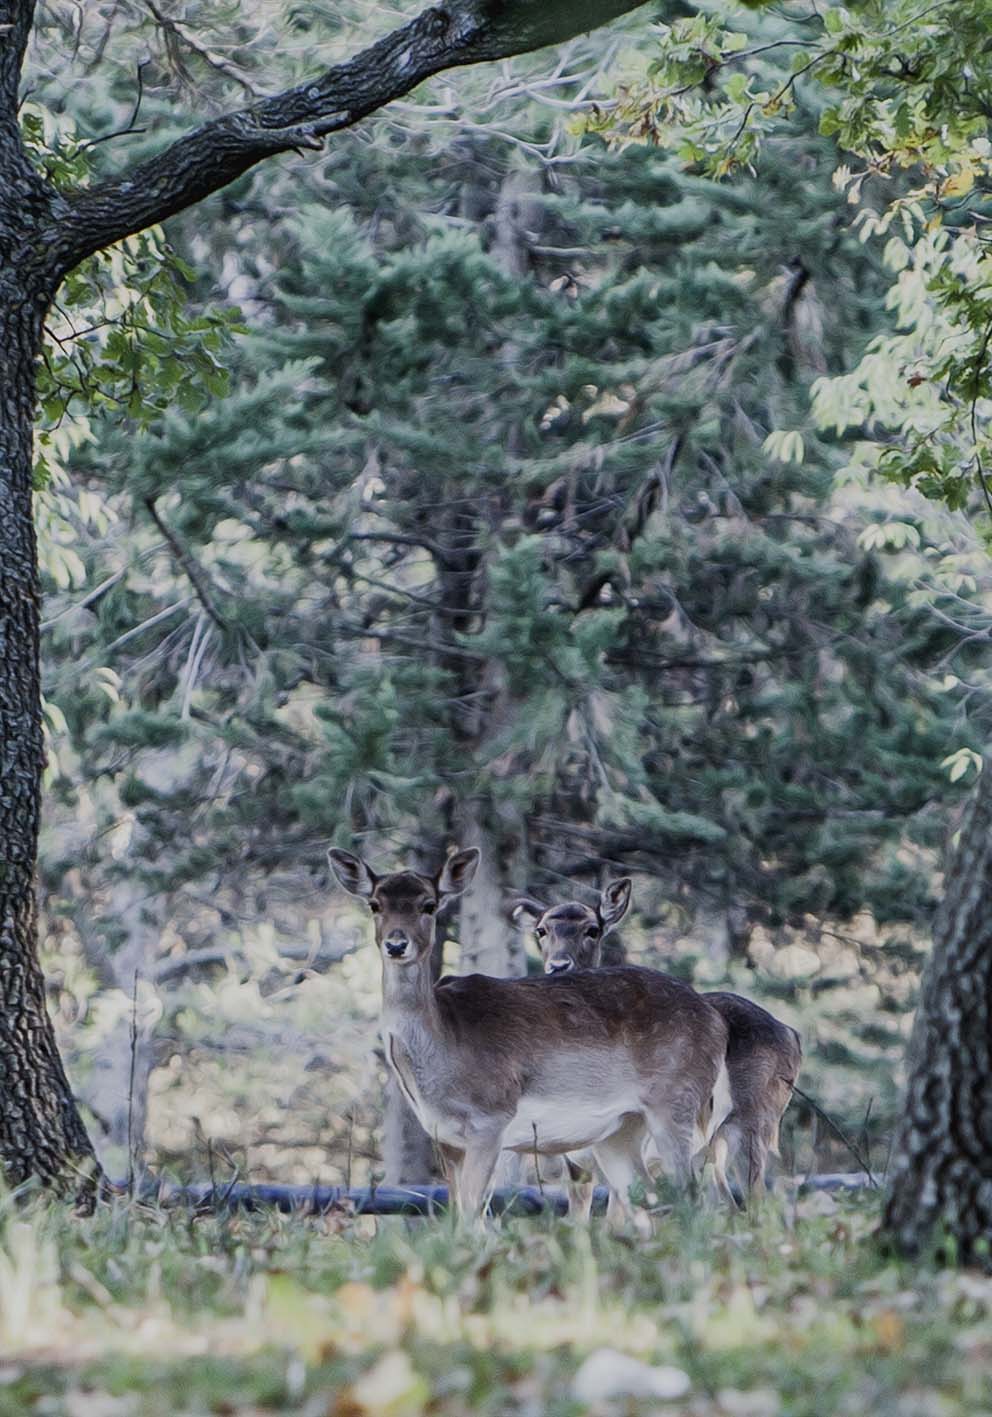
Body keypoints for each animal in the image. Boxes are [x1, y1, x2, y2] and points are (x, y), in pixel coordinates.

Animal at [331, 844, 731, 1235]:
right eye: (375, 904)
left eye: (428, 904)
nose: (397, 945)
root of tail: (716, 1021)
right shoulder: (444, 1136)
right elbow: (459, 1215)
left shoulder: (491, 1118)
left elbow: (474, 1217)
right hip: (621, 1129)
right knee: (648, 1197)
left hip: (676, 1101)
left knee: (691, 1196)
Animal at [515, 884, 804, 1207]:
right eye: (541, 930)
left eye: (592, 929)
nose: (558, 965)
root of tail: (792, 1035)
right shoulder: (577, 1160)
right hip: (715, 1146)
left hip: (753, 1123)